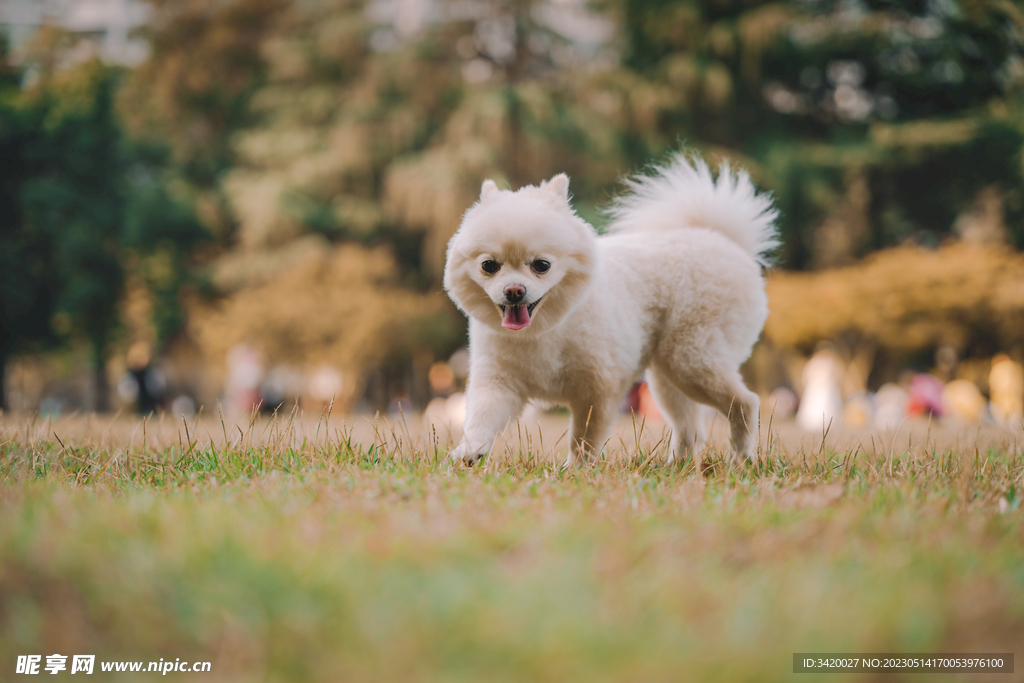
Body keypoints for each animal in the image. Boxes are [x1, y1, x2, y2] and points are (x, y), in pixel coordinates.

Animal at [440, 152, 774, 466]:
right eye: (489, 266)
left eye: (541, 265)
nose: (514, 291)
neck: (546, 327)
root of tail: (725, 241)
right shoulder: (498, 382)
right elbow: (481, 419)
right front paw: (469, 452)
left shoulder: (598, 387)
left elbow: (585, 436)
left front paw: (576, 468)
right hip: (669, 374)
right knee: (690, 425)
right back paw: (677, 465)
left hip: (692, 359)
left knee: (746, 402)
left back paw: (740, 458)